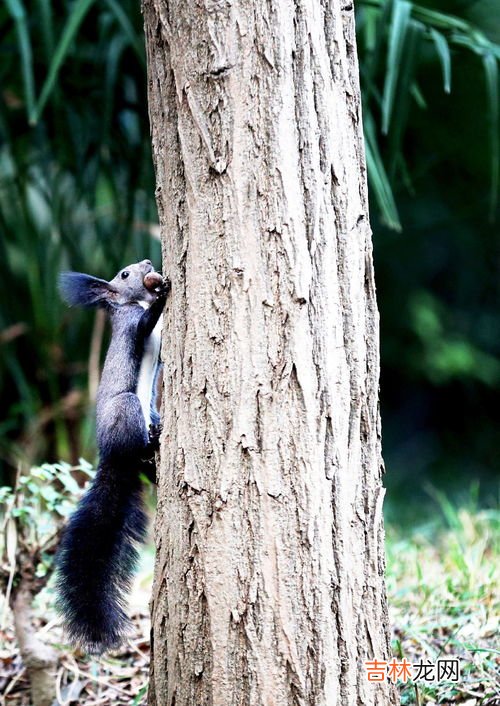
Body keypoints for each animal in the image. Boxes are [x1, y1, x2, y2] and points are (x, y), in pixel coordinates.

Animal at [55, 258, 170, 648]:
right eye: (124, 274)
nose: (148, 264)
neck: (129, 304)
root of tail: (111, 454)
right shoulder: (133, 327)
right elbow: (146, 324)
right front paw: (163, 294)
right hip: (129, 406)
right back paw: (152, 445)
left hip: (149, 412)